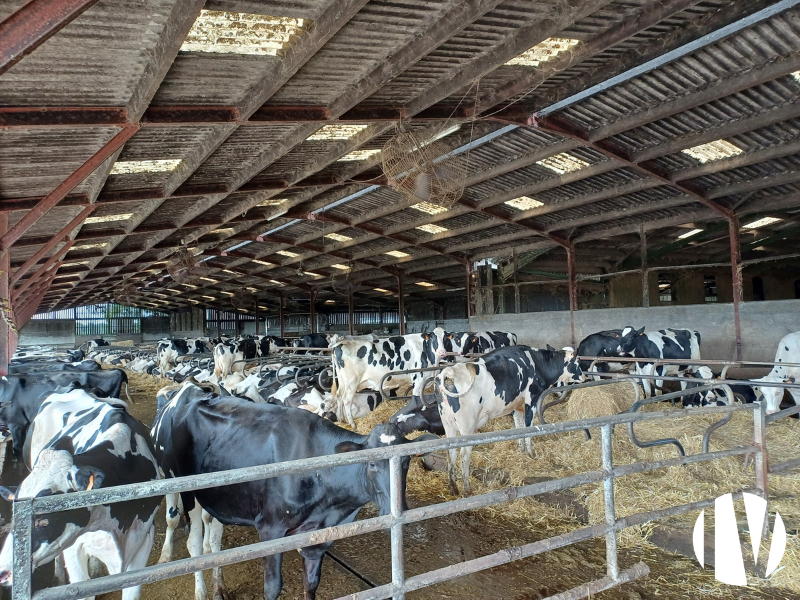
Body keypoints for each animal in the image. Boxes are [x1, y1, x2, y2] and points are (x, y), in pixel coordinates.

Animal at [149, 382, 432, 600]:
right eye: (372, 463)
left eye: (406, 460)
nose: (399, 508)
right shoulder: (270, 529)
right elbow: (273, 588)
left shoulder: (319, 536)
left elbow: (311, 584)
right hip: (184, 489)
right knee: (194, 543)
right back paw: (199, 588)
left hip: (217, 499)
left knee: (214, 541)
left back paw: (219, 588)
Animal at [434, 344, 584, 494]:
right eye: (577, 361)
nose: (584, 377)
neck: (537, 363)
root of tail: (448, 371)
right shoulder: (531, 400)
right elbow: (528, 429)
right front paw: (530, 454)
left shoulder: (517, 406)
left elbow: (519, 428)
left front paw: (521, 450)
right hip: (467, 425)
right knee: (464, 457)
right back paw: (467, 489)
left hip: (448, 424)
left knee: (451, 454)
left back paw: (453, 488)